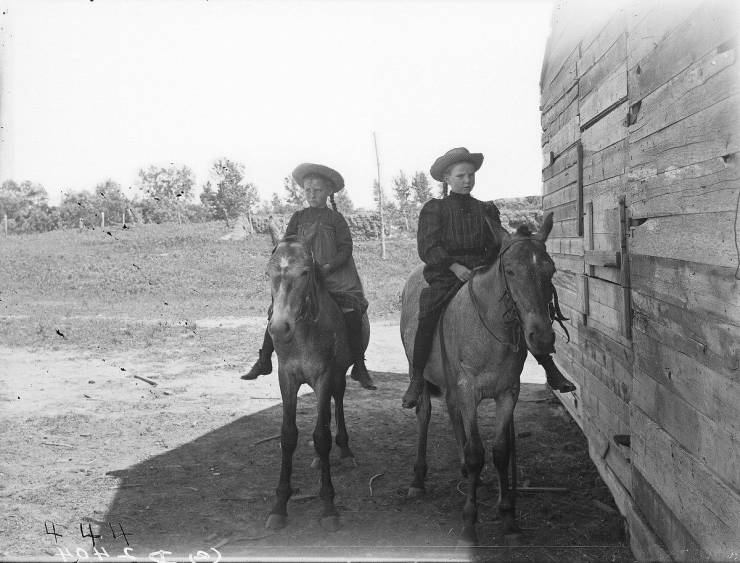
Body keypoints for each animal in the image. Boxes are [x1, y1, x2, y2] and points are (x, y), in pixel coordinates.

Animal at [264, 237, 370, 532]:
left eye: (304, 273)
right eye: (268, 273)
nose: (279, 328)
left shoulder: (324, 376)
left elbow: (322, 436)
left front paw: (328, 507)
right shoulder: (287, 378)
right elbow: (288, 436)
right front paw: (279, 506)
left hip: (338, 374)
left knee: (338, 401)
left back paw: (344, 450)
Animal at [398, 213, 560, 548]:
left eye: (550, 269)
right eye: (510, 271)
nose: (542, 338)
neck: (489, 328)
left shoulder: (508, 393)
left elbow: (500, 452)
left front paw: (509, 517)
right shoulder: (468, 390)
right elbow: (476, 453)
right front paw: (469, 523)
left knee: (452, 412)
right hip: (418, 372)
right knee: (425, 413)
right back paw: (418, 479)